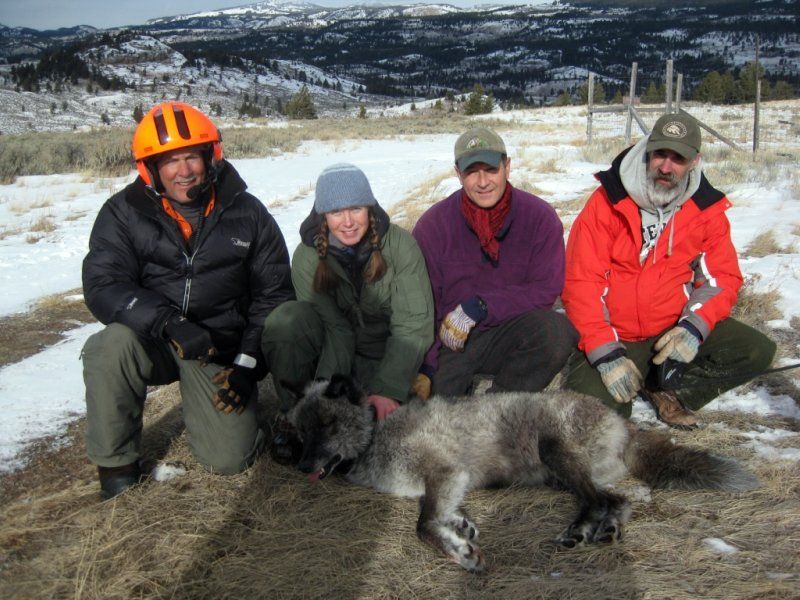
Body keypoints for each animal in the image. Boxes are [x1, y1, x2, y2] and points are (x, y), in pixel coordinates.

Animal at [286, 376, 756, 572]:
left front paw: (462, 554)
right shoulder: (446, 484)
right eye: (300, 431)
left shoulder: (444, 471)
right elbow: (438, 515)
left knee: (599, 499)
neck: (375, 437)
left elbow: (423, 526)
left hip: (553, 451)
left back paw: (581, 530)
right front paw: (462, 528)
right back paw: (605, 530)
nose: (302, 466)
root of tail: (626, 425)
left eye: (327, 425)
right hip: (559, 474)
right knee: (616, 500)